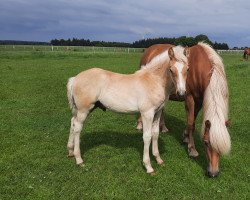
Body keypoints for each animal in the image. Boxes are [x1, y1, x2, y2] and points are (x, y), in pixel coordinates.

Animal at [66, 46, 189, 174]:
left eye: (188, 69)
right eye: (171, 69)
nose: (181, 94)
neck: (154, 80)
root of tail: (74, 79)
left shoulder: (158, 112)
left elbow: (155, 134)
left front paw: (158, 159)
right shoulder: (147, 113)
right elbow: (147, 136)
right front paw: (148, 166)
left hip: (81, 109)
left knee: (72, 123)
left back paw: (70, 151)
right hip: (84, 110)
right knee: (77, 127)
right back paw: (79, 159)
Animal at [137, 42, 230, 177]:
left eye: (223, 146)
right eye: (206, 142)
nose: (213, 173)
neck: (199, 66)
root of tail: (150, 49)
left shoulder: (199, 100)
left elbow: (192, 121)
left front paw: (185, 137)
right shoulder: (189, 98)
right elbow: (191, 123)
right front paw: (192, 149)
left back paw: (163, 127)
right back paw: (140, 124)